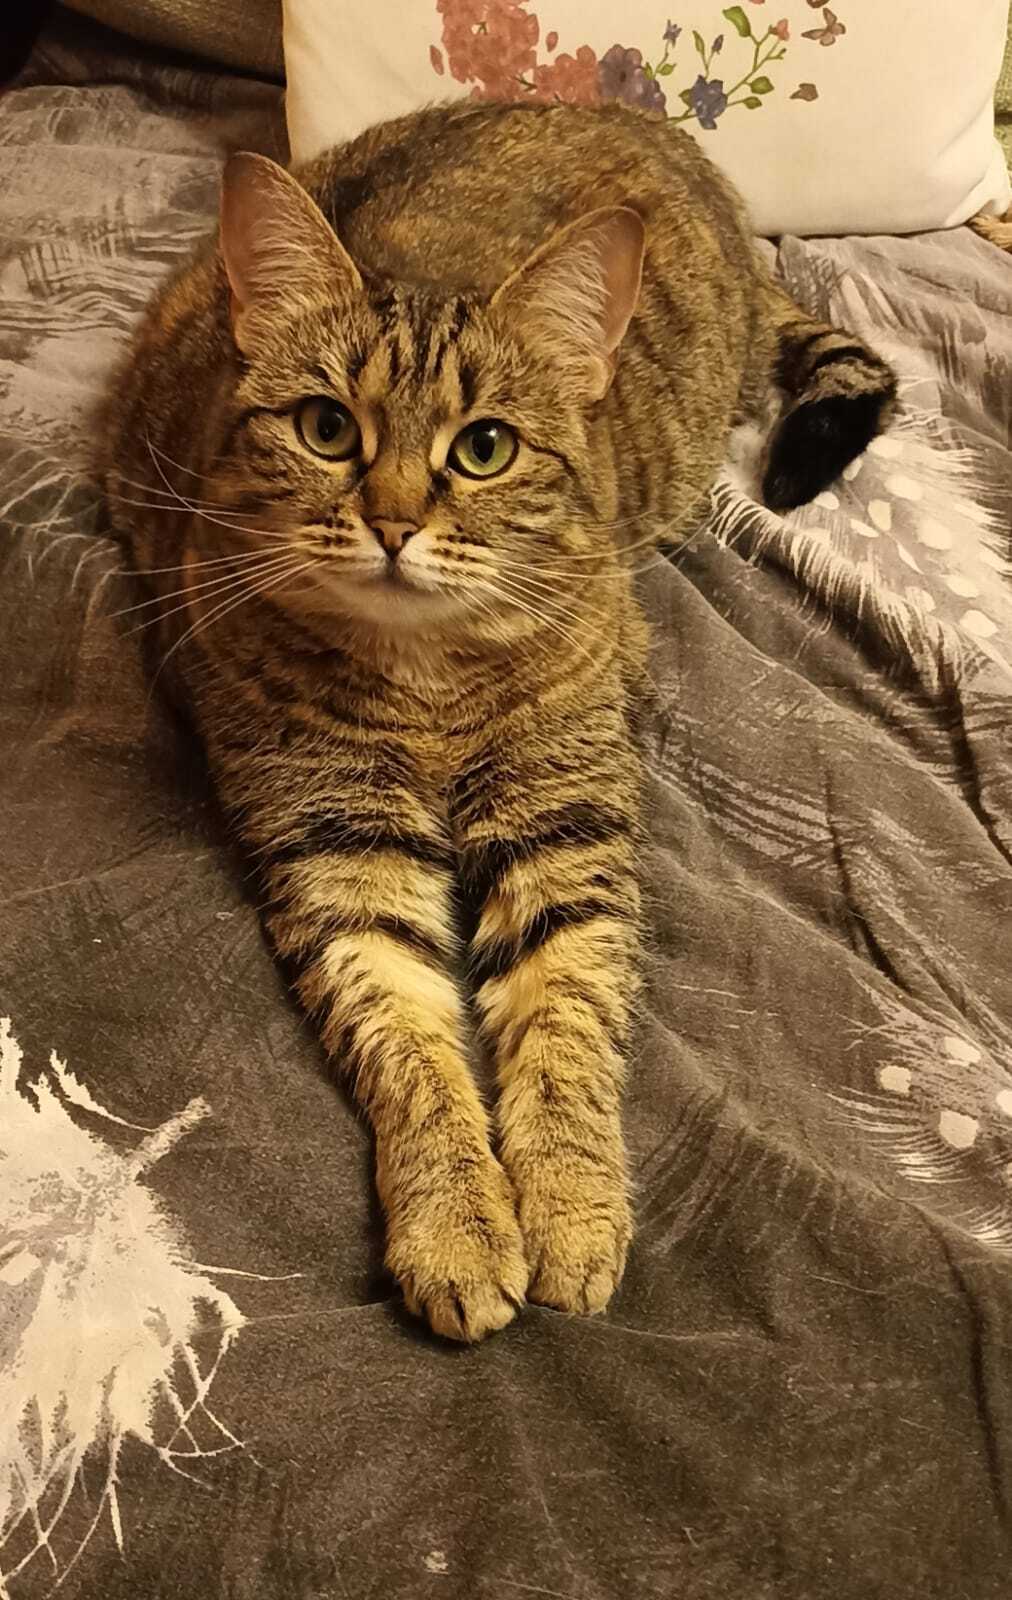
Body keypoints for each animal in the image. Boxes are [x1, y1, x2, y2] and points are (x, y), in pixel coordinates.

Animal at [102, 100, 896, 1341]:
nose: (390, 523)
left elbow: (567, 1018)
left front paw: (568, 1205)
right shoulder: (339, 843)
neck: (425, 680)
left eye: (484, 447)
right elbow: (411, 1043)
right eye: (326, 427)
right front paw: (459, 1224)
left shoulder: (564, 822)